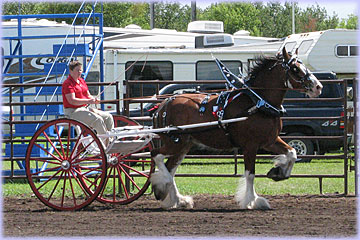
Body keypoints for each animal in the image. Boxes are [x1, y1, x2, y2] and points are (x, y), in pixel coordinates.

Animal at [149, 46, 324, 208]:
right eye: (295, 68)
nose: (318, 87)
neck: (257, 102)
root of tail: (162, 106)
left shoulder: (270, 141)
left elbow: (292, 152)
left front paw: (278, 172)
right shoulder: (250, 146)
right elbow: (250, 174)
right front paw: (252, 201)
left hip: (184, 145)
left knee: (170, 167)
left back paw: (177, 200)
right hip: (175, 142)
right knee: (157, 156)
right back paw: (163, 187)